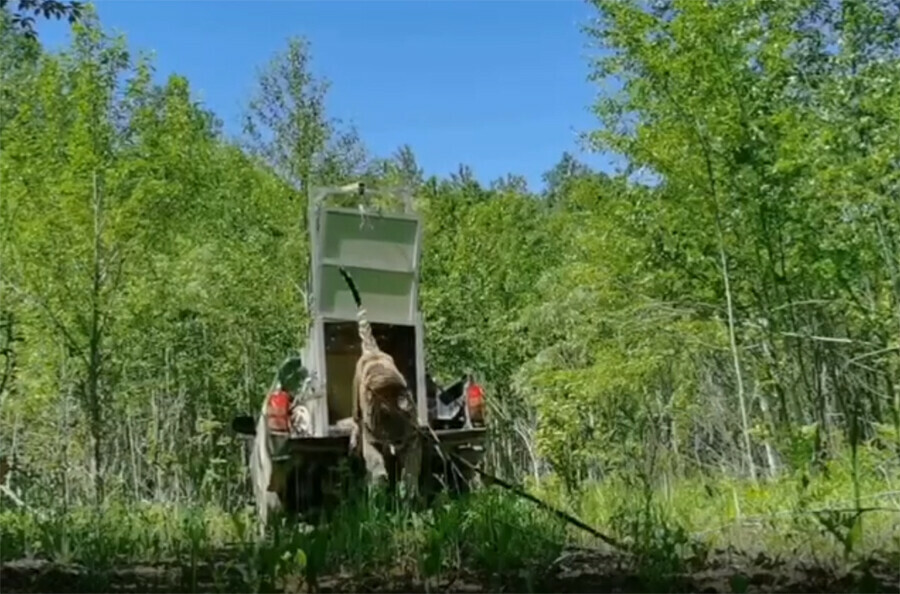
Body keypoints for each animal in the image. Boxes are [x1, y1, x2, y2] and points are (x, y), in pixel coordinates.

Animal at [338, 266, 422, 498]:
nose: (397, 445)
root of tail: (372, 351)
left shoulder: (412, 442)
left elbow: (410, 474)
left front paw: (406, 494)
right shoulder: (374, 440)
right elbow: (378, 472)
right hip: (356, 402)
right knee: (356, 422)